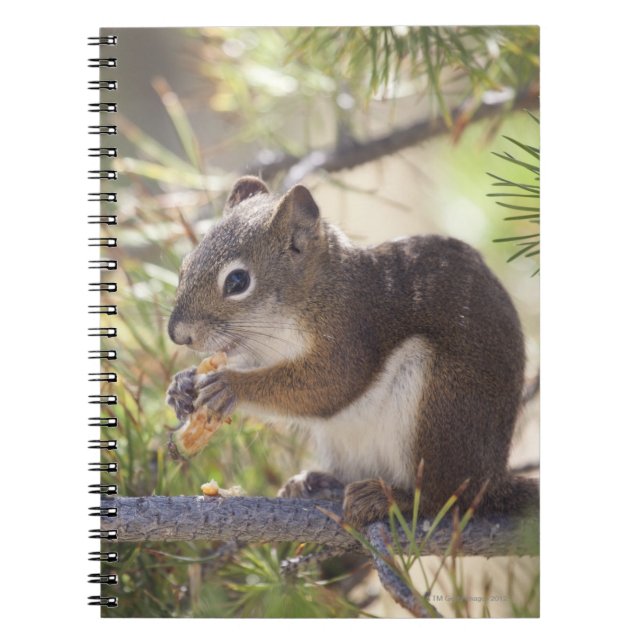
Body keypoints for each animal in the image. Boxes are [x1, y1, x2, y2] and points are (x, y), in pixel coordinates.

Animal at [166, 176, 539, 526]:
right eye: (184, 266)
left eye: (237, 281)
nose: (177, 334)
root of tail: (491, 479)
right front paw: (182, 385)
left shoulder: (350, 331)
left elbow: (331, 386)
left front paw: (231, 385)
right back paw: (317, 482)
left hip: (440, 407)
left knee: (445, 497)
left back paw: (393, 499)